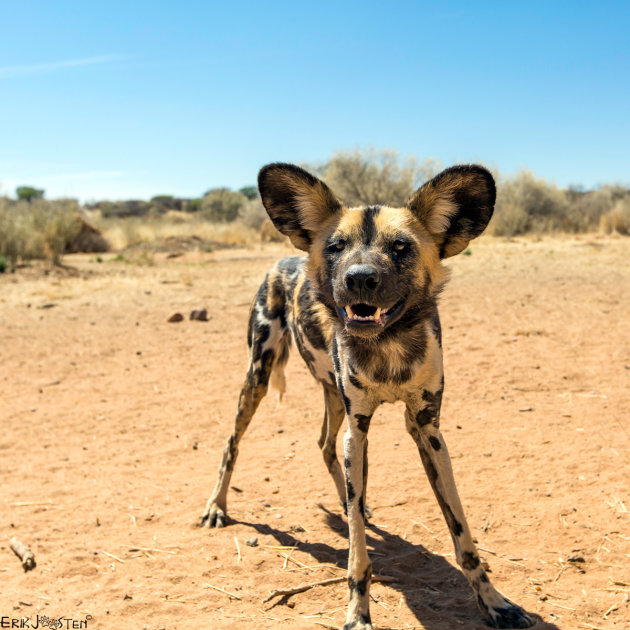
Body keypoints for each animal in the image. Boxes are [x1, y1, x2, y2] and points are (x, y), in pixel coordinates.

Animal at [201, 165, 532, 628]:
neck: (388, 346)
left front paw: (493, 602)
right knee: (233, 442)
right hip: (259, 379)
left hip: (333, 399)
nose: (359, 278)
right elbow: (358, 554)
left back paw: (345, 500)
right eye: (336, 247)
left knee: (325, 445)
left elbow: (463, 535)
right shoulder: (359, 431)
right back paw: (216, 505)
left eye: (401, 247)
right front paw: (358, 612)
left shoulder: (426, 430)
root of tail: (286, 256)